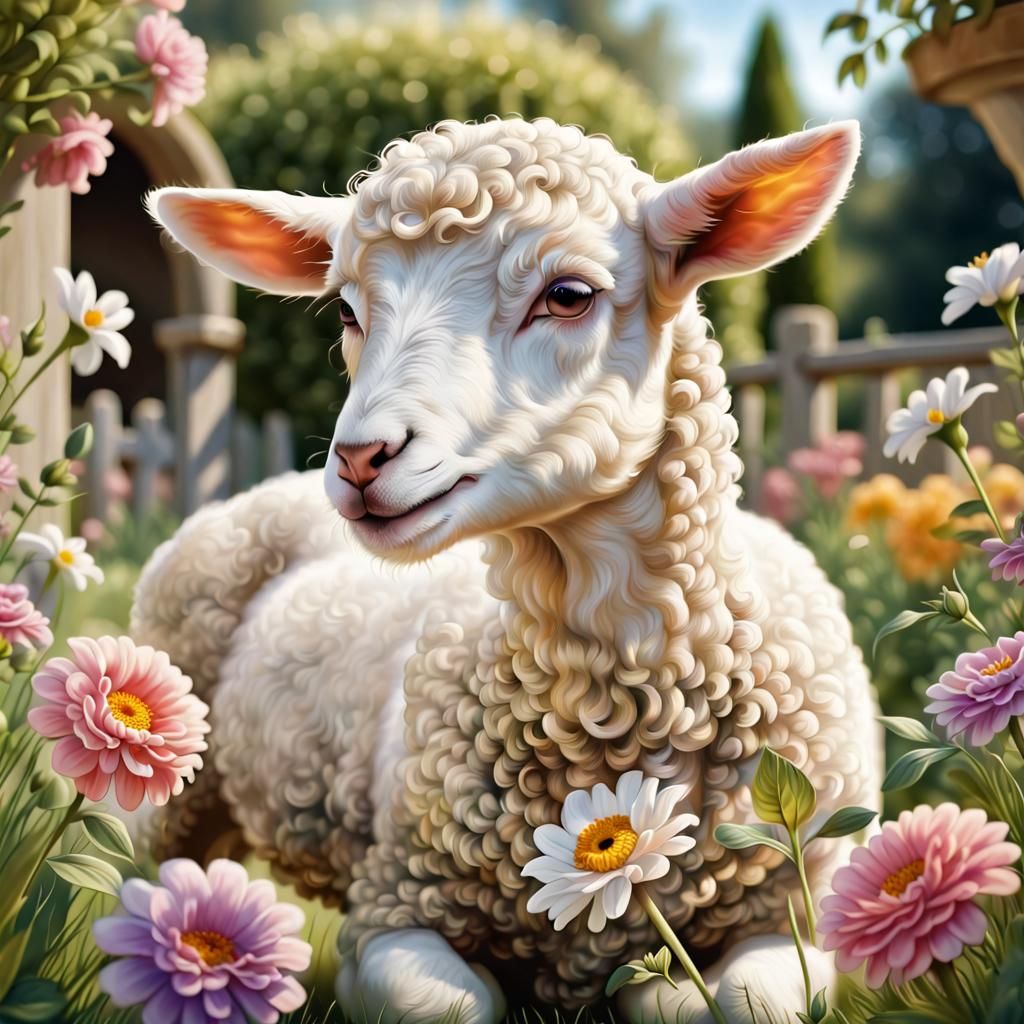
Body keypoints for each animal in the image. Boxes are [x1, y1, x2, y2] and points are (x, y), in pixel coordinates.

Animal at [137, 116, 882, 1023]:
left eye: (569, 295)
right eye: (347, 309)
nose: (359, 459)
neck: (615, 704)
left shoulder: (792, 910)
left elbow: (749, 1003)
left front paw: (663, 992)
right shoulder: (393, 902)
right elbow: (453, 1006)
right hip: (171, 772)